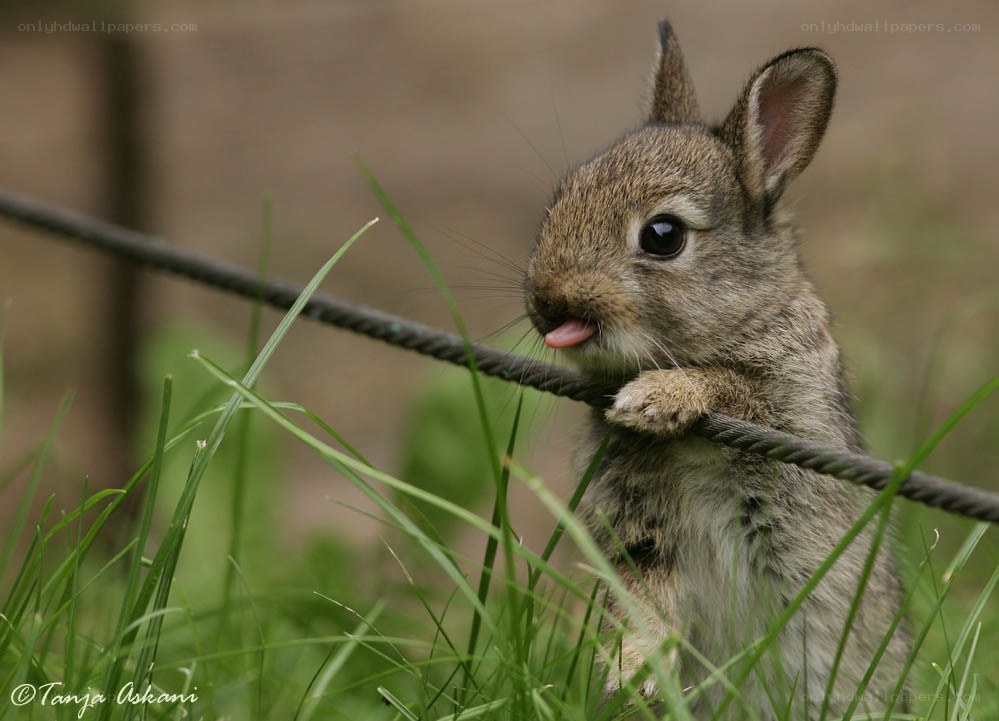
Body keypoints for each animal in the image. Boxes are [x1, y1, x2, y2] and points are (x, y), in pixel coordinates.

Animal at [523, 20, 911, 720]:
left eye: (663, 235)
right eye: (562, 198)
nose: (546, 301)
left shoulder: (793, 415)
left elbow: (731, 387)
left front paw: (655, 398)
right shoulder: (638, 528)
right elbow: (645, 592)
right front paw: (631, 671)